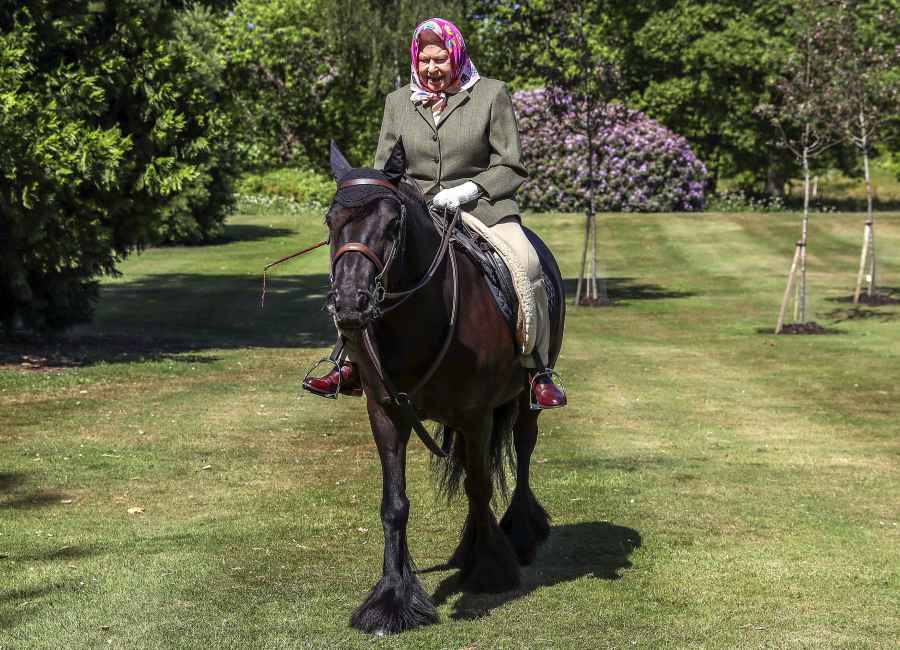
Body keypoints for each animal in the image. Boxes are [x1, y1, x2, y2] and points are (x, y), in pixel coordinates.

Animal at [324, 142, 564, 632]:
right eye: (330, 221)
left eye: (392, 224)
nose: (351, 303)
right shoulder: (385, 413)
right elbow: (395, 503)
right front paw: (391, 599)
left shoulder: (475, 414)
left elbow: (480, 486)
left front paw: (489, 569)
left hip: (525, 401)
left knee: (523, 451)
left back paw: (519, 534)